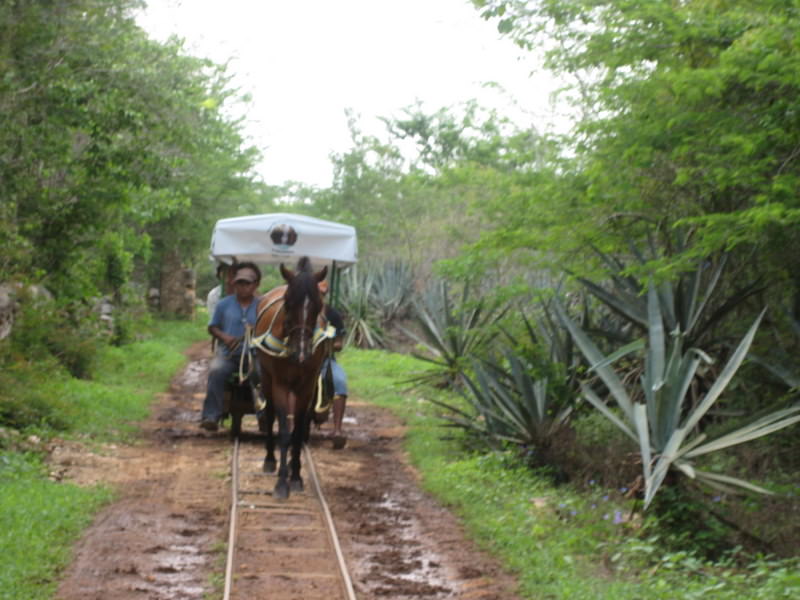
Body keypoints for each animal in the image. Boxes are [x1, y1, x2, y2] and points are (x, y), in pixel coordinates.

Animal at [256, 255, 332, 500]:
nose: (301, 353)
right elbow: (284, 431)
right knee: (270, 414)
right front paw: (281, 483)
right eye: (288, 303)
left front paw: (296, 476)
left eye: (318, 306)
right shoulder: (280, 384)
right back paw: (271, 459)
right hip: (267, 378)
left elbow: (298, 431)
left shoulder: (307, 386)